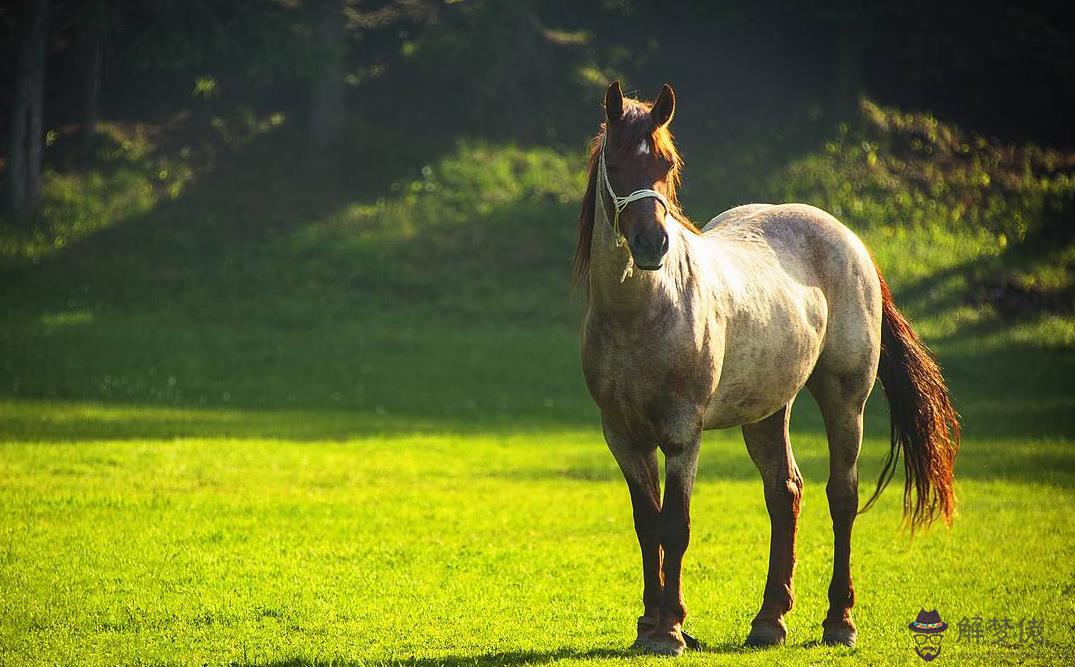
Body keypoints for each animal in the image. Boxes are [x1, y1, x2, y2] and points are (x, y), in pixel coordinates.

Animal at [576, 83, 963, 658]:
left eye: (667, 164)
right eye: (617, 161)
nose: (652, 244)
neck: (642, 313)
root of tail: (849, 240)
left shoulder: (682, 435)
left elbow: (675, 526)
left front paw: (669, 630)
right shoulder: (622, 436)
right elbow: (648, 526)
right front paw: (650, 625)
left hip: (845, 400)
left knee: (842, 496)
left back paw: (839, 622)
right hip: (766, 412)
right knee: (785, 494)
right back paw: (769, 620)